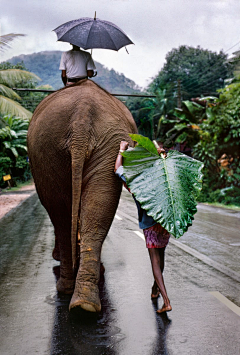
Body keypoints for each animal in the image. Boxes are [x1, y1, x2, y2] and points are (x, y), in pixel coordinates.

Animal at [26, 79, 137, 312]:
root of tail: (81, 116)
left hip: (61, 144)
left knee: (62, 215)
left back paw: (75, 295)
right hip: (54, 145)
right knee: (75, 214)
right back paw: (83, 302)